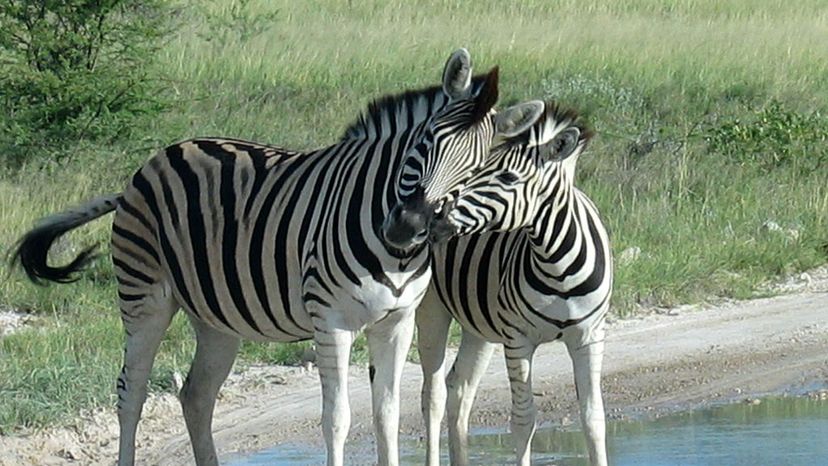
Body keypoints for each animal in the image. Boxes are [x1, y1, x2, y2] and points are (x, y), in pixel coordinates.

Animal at [11, 50, 544, 466]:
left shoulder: (397, 321)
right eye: (425, 142)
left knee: (196, 395)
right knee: (132, 392)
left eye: (476, 171)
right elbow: (337, 419)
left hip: (215, 316)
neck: (393, 251)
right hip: (145, 297)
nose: (406, 227)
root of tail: (156, 159)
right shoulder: (330, 321)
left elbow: (388, 414)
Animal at [418, 99, 612, 466]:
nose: (436, 225)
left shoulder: (590, 337)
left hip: (479, 325)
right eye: (477, 174)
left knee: (459, 388)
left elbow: (594, 418)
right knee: (432, 397)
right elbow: (523, 420)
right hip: (432, 310)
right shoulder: (518, 339)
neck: (557, 265)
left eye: (508, 177)